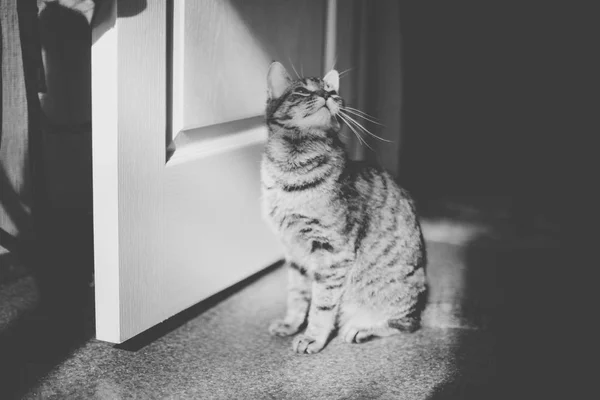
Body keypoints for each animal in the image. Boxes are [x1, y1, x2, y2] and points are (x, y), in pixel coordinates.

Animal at [262, 61, 426, 354]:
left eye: (331, 90)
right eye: (302, 91)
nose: (326, 95)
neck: (290, 171)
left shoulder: (332, 252)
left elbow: (321, 305)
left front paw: (312, 337)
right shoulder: (293, 254)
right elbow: (296, 295)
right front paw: (291, 324)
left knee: (407, 323)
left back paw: (360, 329)